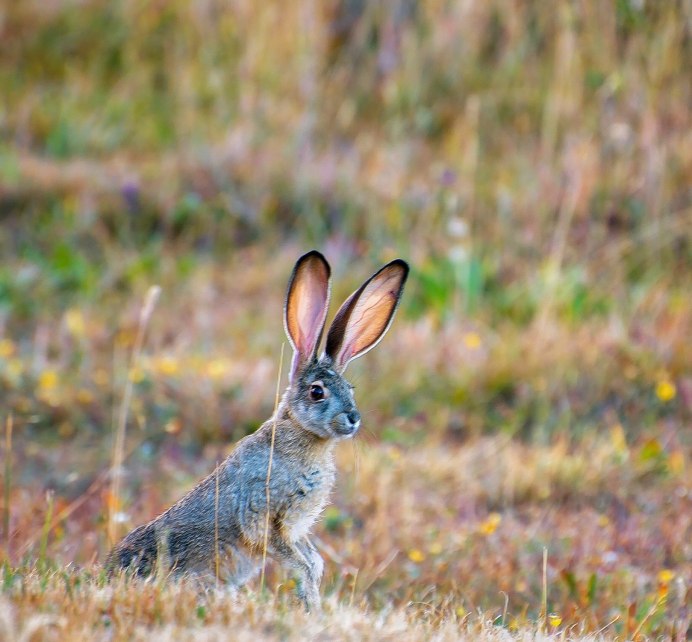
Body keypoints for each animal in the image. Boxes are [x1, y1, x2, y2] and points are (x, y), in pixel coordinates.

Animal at [106, 250, 409, 610]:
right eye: (316, 392)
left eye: (350, 388)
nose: (352, 418)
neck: (303, 439)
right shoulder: (261, 513)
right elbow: (298, 563)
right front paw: (311, 608)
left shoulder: (296, 528)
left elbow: (312, 561)